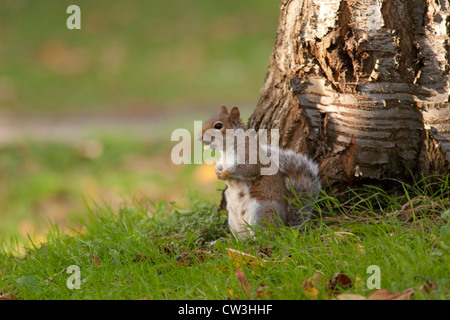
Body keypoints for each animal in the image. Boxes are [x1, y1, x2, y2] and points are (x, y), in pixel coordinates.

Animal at [200, 106, 320, 239]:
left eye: (218, 126)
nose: (200, 137)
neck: (227, 149)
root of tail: (282, 226)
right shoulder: (222, 160)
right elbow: (219, 165)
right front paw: (217, 172)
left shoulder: (250, 158)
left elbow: (246, 169)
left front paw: (225, 173)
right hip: (233, 220)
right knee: (243, 236)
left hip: (260, 213)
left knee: (264, 236)